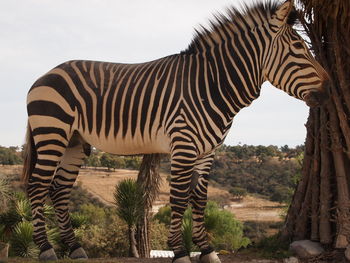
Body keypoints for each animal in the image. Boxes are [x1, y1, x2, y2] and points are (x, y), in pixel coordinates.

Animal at [21, 0, 328, 263]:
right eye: (299, 47)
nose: (329, 89)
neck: (212, 84)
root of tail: (45, 74)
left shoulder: (208, 151)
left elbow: (200, 200)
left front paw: (207, 250)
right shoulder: (184, 145)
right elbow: (179, 199)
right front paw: (180, 251)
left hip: (74, 142)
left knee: (59, 190)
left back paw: (74, 248)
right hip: (52, 133)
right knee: (37, 186)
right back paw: (47, 249)